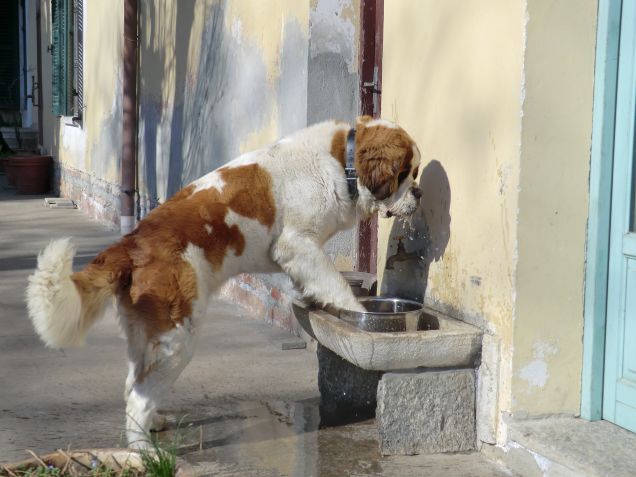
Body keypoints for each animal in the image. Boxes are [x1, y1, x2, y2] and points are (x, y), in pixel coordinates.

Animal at [26, 115, 422, 446]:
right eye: (407, 172)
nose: (418, 193)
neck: (343, 163)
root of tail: (132, 242)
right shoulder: (299, 243)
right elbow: (334, 282)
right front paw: (357, 311)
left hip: (148, 336)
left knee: (133, 384)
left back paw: (153, 424)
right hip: (177, 338)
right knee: (138, 398)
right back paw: (142, 453)